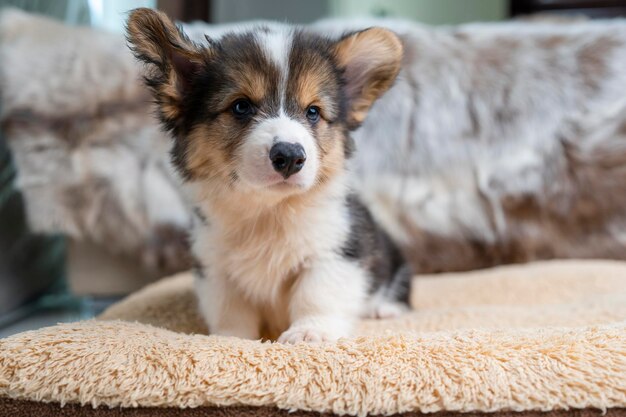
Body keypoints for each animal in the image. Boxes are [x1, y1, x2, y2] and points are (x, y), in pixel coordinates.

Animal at [126, 8, 410, 342]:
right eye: (241, 106)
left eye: (313, 112)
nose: (289, 157)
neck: (269, 211)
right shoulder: (214, 266)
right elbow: (230, 310)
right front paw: (229, 339)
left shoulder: (335, 251)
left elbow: (316, 294)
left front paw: (309, 332)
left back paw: (384, 309)